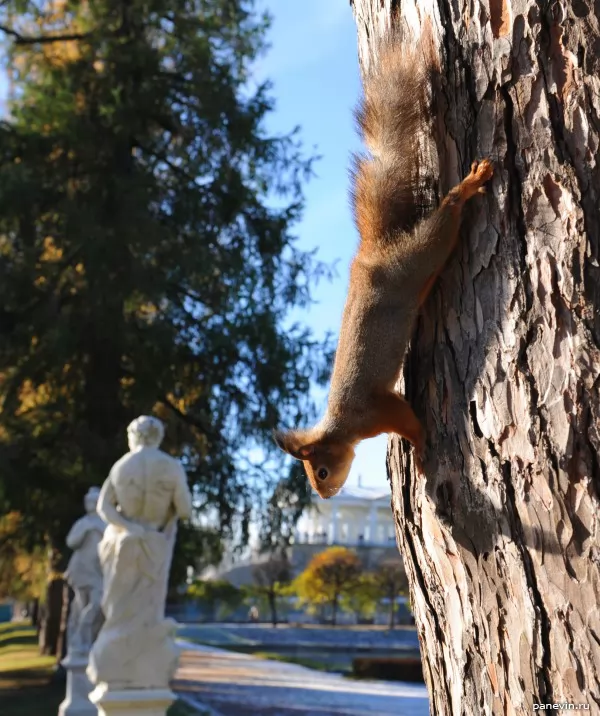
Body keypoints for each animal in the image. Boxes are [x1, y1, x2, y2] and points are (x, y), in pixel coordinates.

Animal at [272, 26, 492, 498]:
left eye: (319, 471)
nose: (326, 494)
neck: (342, 427)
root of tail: (373, 252)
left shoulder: (380, 409)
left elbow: (409, 421)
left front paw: (423, 449)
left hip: (418, 255)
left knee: (445, 218)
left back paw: (469, 185)